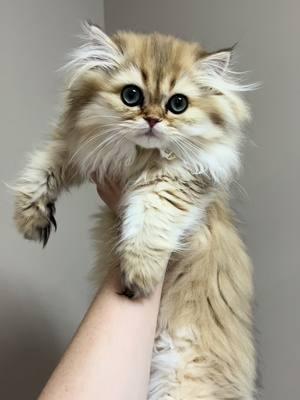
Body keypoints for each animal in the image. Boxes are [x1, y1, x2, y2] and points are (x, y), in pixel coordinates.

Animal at [14, 22, 255, 400]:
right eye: (131, 96)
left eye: (178, 104)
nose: (153, 120)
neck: (140, 157)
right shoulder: (81, 147)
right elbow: (41, 168)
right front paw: (30, 217)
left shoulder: (179, 182)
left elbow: (150, 219)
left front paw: (139, 274)